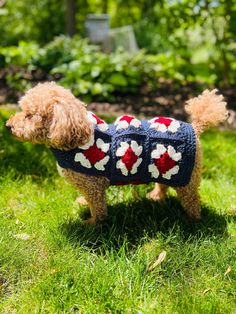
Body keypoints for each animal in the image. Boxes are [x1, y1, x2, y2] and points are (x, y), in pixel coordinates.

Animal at [5, 81, 227, 223]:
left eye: (29, 115)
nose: (7, 126)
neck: (76, 135)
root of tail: (195, 127)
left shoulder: (94, 186)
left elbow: (98, 208)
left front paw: (92, 224)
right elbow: (88, 200)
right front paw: (82, 204)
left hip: (187, 179)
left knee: (192, 200)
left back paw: (193, 221)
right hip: (164, 168)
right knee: (163, 184)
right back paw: (156, 196)